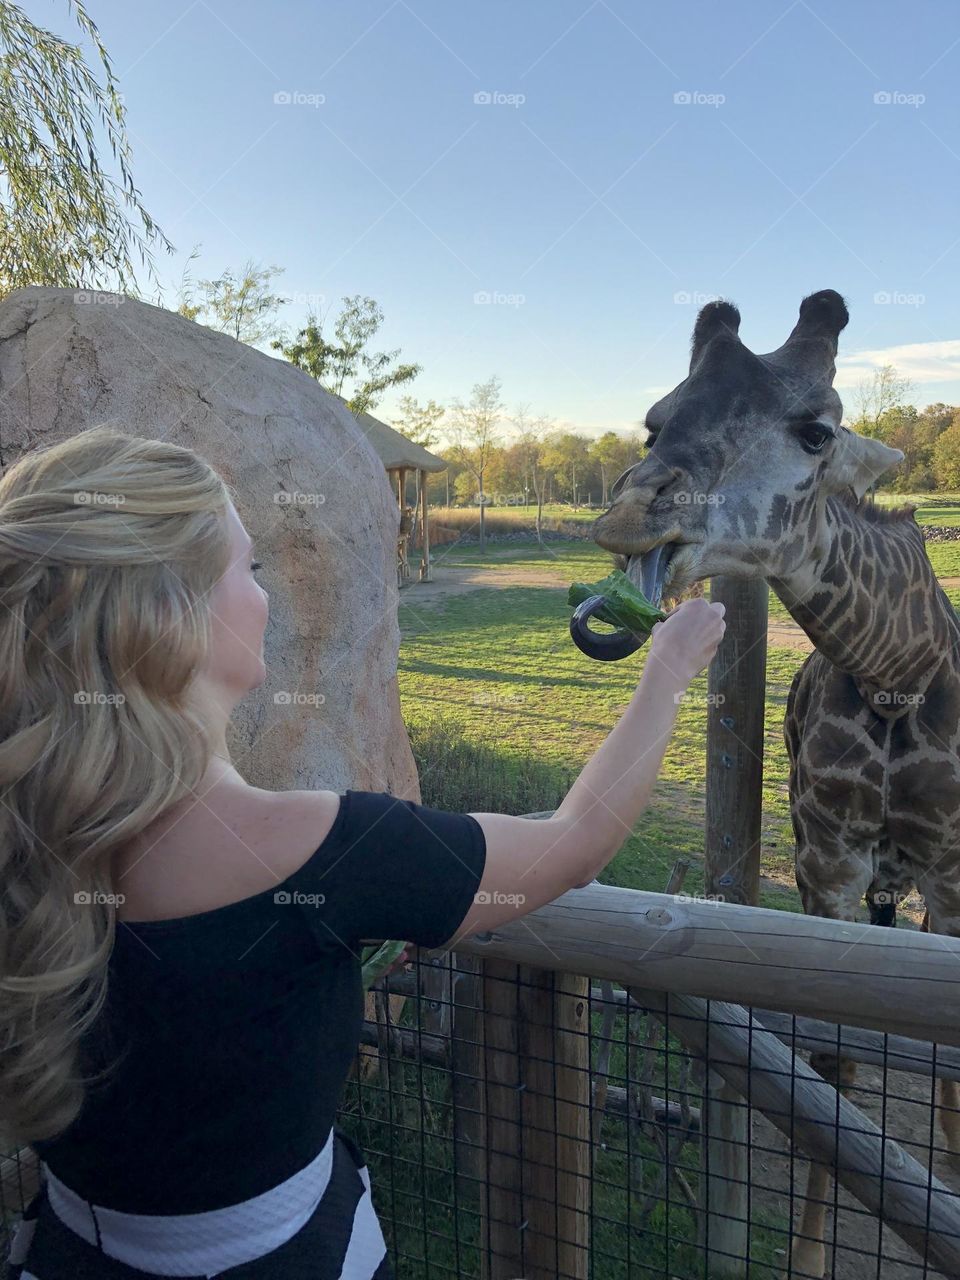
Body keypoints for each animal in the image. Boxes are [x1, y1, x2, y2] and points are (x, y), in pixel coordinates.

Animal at [583, 290, 960, 1280]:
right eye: (656, 418)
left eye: (817, 431)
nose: (631, 513)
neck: (901, 675)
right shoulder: (827, 866)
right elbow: (841, 1060)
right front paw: (811, 1254)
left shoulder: (954, 879)